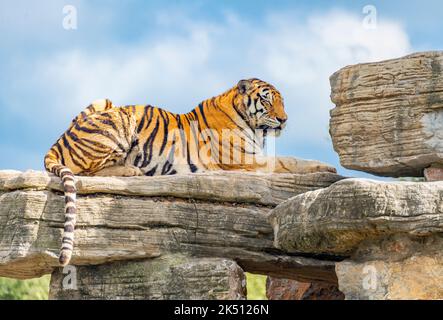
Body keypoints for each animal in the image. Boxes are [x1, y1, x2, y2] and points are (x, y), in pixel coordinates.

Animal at [45, 79, 336, 266]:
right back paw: (130, 171)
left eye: (282, 102)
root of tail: (56, 143)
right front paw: (324, 167)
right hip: (119, 119)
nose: (283, 120)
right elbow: (288, 161)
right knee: (87, 172)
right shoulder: (245, 160)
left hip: (103, 101)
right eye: (267, 99)